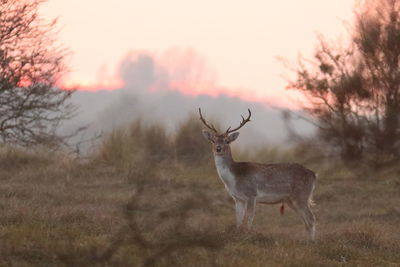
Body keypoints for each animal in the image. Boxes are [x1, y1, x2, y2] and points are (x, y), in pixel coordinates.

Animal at [199, 108, 316, 241]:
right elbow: (238, 221)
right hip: (291, 200)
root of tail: (313, 174)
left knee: (311, 218)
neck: (234, 178)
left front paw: (247, 237)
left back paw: (312, 242)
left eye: (227, 141)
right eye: (213, 140)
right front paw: (237, 235)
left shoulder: (251, 194)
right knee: (306, 221)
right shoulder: (238, 198)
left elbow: (249, 220)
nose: (218, 148)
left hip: (301, 195)